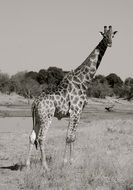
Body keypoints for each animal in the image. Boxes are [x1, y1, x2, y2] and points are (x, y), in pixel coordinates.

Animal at [26, 25, 117, 171]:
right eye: (104, 36)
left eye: (112, 35)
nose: (109, 43)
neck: (84, 80)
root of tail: (34, 103)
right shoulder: (76, 111)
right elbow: (69, 137)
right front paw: (64, 162)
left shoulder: (78, 113)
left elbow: (73, 136)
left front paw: (72, 162)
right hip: (47, 117)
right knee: (41, 137)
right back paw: (45, 166)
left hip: (38, 118)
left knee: (32, 136)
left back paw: (27, 165)